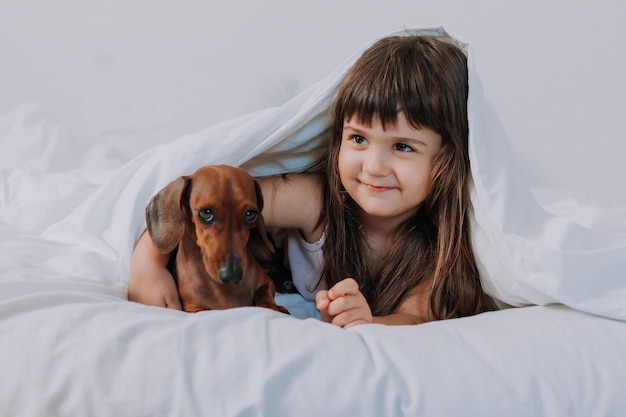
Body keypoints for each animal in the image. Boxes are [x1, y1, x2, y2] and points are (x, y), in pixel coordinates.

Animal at [147, 164, 290, 314]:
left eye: (250, 214)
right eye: (206, 213)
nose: (232, 276)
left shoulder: (266, 283)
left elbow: (264, 298)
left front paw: (275, 308)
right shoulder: (195, 309)